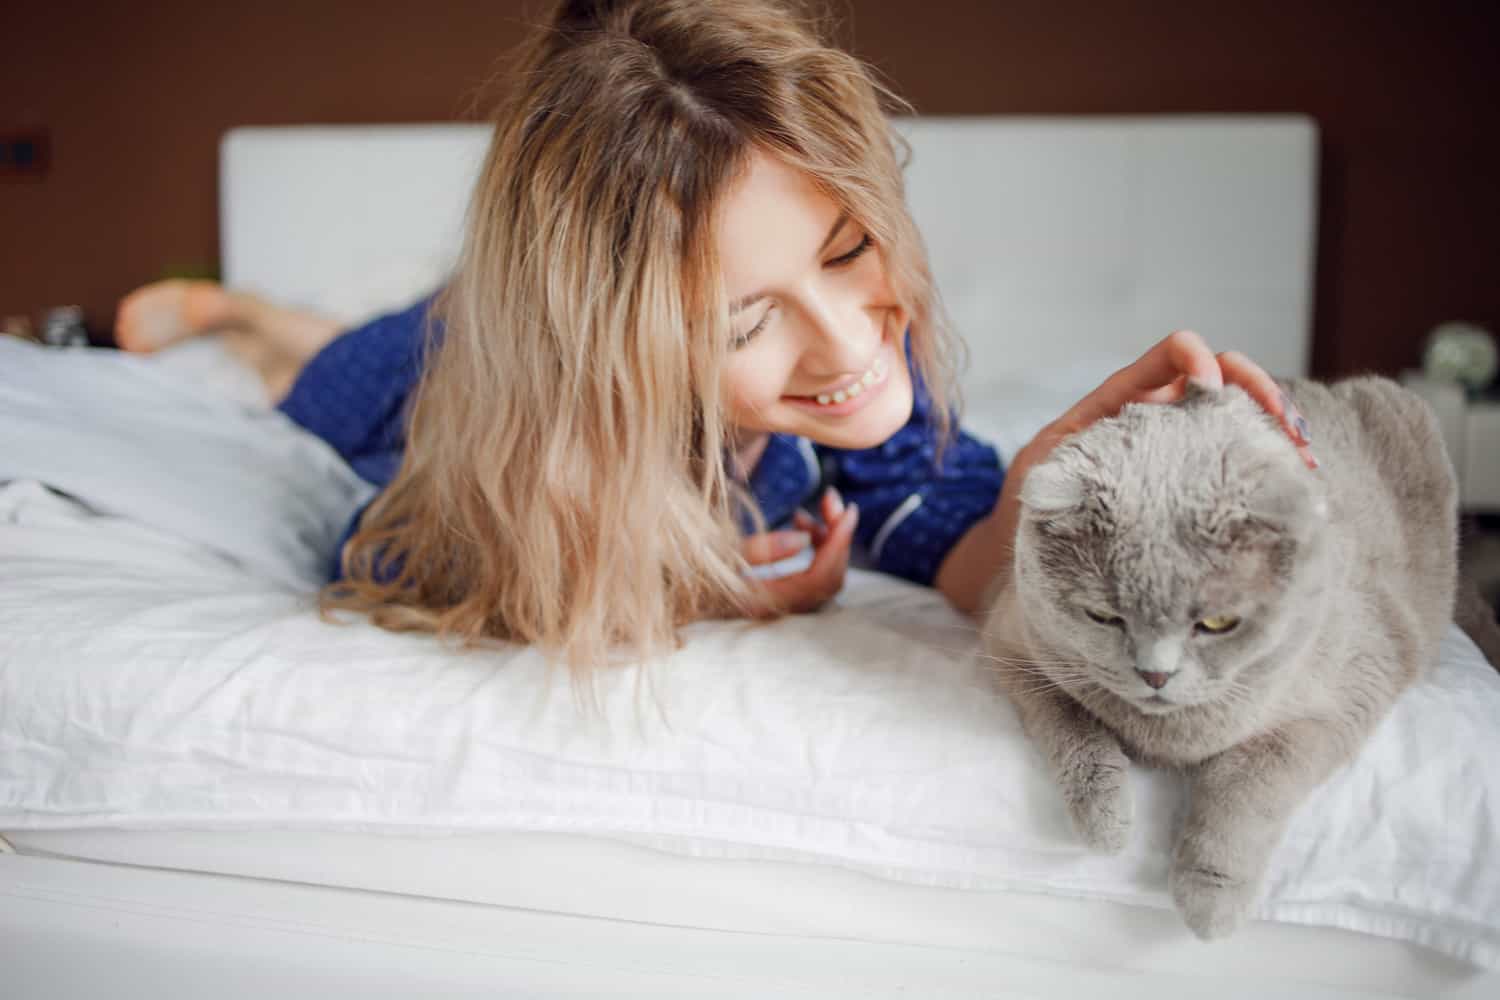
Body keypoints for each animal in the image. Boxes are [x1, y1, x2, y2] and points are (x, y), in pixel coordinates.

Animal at [984, 374, 1452, 941]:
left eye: (1217, 623)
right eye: (1104, 616)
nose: (1155, 673)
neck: (1169, 740)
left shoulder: (1349, 688)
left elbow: (1247, 782)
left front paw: (1211, 900)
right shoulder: (1014, 644)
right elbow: (1071, 726)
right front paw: (1106, 822)